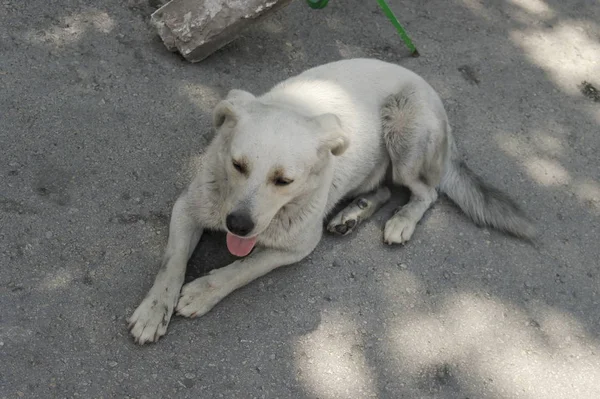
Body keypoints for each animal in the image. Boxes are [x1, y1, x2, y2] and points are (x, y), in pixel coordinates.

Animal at [127, 57, 536, 346]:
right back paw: (353, 214)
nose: (238, 225)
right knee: (383, 190)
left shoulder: (297, 247)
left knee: (425, 192)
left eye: (284, 180)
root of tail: (433, 94)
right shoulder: (187, 208)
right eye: (237, 165)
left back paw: (402, 220)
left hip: (405, 138)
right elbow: (171, 263)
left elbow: (241, 269)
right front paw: (154, 309)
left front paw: (202, 291)